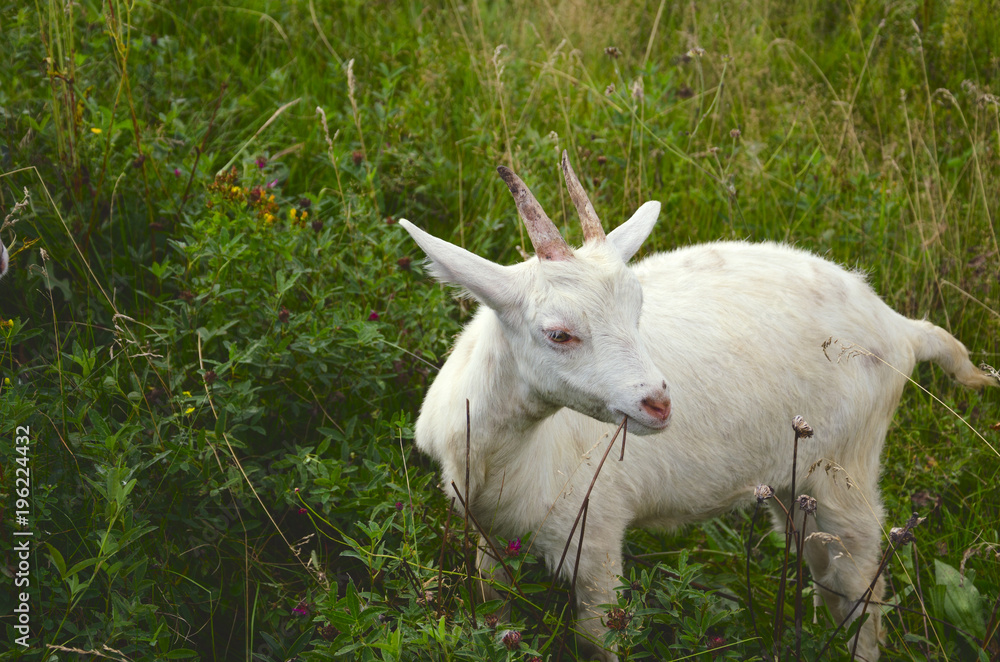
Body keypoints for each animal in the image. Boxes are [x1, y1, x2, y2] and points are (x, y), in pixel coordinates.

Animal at [398, 152, 994, 661]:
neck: (508, 451)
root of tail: (900, 327)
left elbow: (596, 640)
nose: (658, 403)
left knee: (860, 589)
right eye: (558, 333)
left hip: (847, 466)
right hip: (795, 486)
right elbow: (495, 613)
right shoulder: (488, 537)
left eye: (638, 306)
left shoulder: (595, 534)